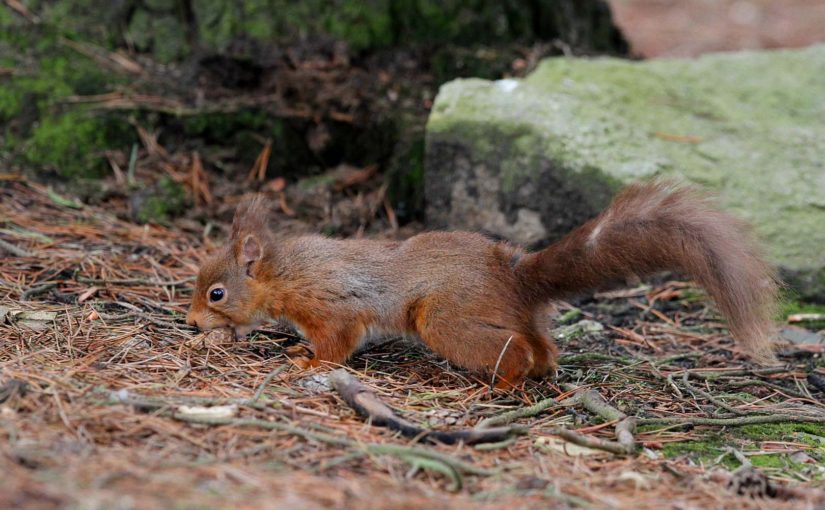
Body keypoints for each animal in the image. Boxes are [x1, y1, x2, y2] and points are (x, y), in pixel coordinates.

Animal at [187, 181, 780, 388]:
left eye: (217, 293)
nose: (190, 323)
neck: (283, 275)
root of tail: (511, 273)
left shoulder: (331, 304)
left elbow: (337, 342)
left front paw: (307, 361)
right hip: (519, 315)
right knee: (543, 345)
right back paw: (540, 370)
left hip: (444, 317)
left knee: (512, 349)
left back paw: (504, 383)